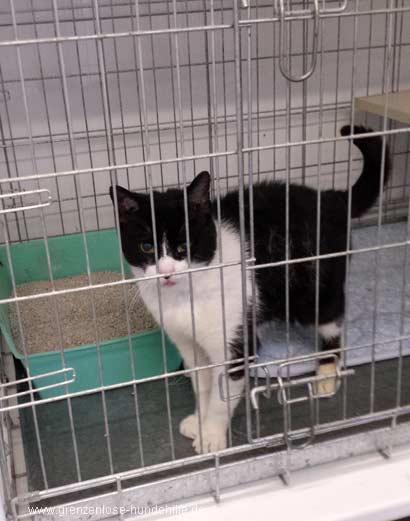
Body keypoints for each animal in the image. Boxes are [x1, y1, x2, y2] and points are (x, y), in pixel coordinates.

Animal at [110, 125, 390, 454]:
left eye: (185, 244)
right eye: (146, 247)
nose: (167, 272)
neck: (185, 297)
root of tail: (331, 198)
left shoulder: (233, 338)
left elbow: (221, 394)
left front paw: (212, 436)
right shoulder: (188, 343)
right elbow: (202, 383)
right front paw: (198, 421)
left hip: (316, 286)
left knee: (331, 321)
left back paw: (327, 375)